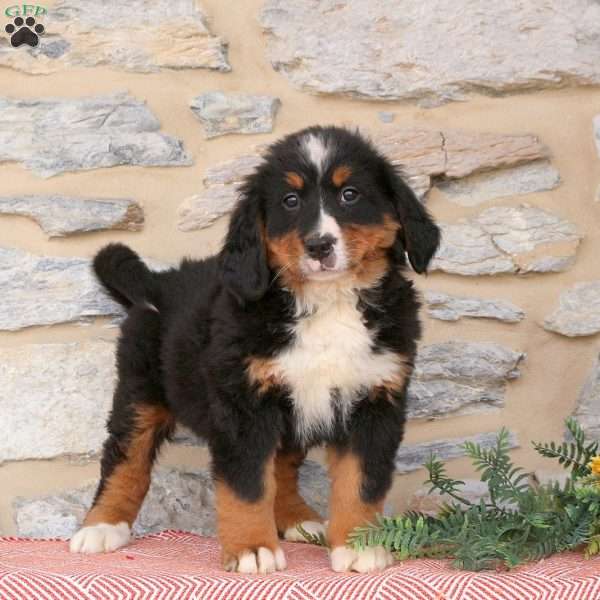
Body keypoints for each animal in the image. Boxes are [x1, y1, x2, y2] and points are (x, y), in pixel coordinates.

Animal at [69, 124, 440, 576]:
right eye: (290, 201)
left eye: (350, 194)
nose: (319, 245)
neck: (327, 301)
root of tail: (158, 282)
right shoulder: (243, 403)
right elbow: (247, 485)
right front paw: (252, 548)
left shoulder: (374, 399)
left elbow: (361, 482)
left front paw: (358, 545)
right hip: (140, 391)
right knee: (125, 458)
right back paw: (102, 526)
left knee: (282, 466)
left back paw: (300, 521)